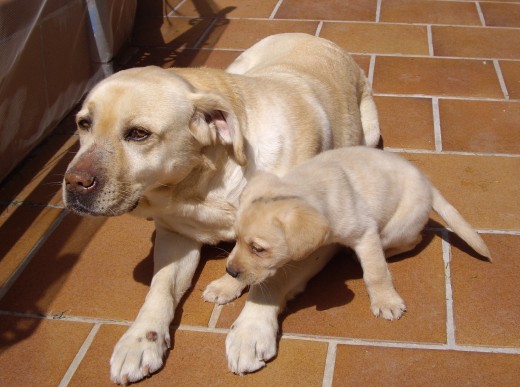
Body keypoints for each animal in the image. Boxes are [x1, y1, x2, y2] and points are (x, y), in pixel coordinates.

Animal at [63, 31, 380, 384]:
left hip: (370, 130)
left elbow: (271, 278)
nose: (73, 182)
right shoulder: (175, 236)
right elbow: (159, 288)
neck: (206, 185)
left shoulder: (318, 241)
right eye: (83, 123)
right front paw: (140, 340)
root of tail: (311, 36)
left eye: (138, 133)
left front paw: (250, 330)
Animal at [225, 148, 490, 324]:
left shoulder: (365, 234)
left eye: (258, 249)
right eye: (235, 238)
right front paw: (226, 284)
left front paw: (386, 301)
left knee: (412, 241)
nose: (230, 271)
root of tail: (427, 182)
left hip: (395, 228)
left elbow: (376, 273)